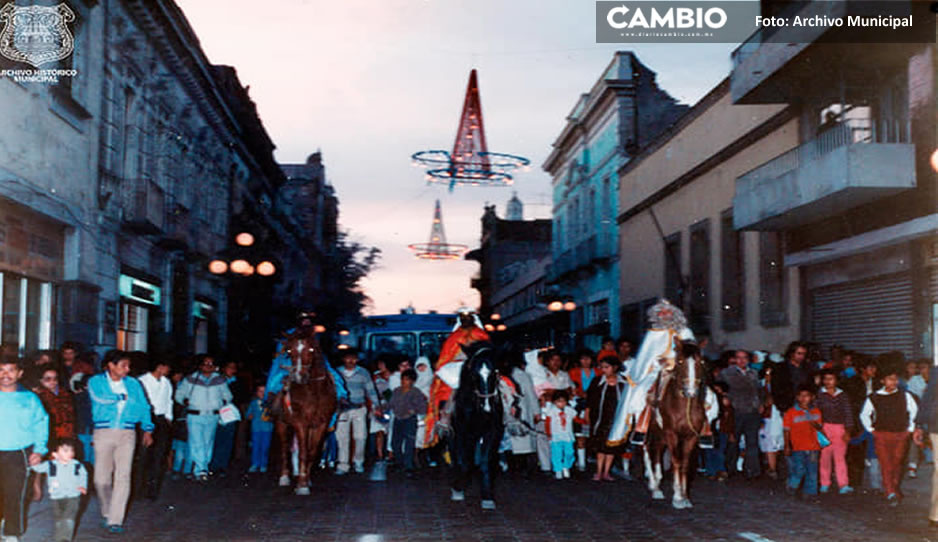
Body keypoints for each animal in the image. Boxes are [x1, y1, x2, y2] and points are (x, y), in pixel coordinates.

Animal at [272, 328, 334, 498]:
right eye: (289, 351)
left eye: (311, 349)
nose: (299, 376)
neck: (315, 393)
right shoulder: (301, 423)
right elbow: (303, 453)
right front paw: (302, 485)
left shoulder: (321, 424)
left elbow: (312, 452)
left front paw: (306, 479)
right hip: (282, 424)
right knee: (284, 448)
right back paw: (285, 476)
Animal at [446, 342, 504, 512]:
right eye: (473, 374)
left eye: (495, 372)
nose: (487, 407)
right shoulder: (462, 432)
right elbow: (464, 462)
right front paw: (458, 489)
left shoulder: (492, 431)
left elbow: (484, 461)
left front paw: (487, 496)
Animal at [644, 338, 704, 512]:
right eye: (680, 361)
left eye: (700, 362)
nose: (691, 391)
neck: (684, 406)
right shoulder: (672, 434)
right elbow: (676, 461)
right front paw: (677, 498)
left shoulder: (691, 437)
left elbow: (685, 464)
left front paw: (685, 497)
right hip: (653, 430)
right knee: (649, 449)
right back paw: (654, 486)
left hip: (661, 434)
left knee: (656, 450)